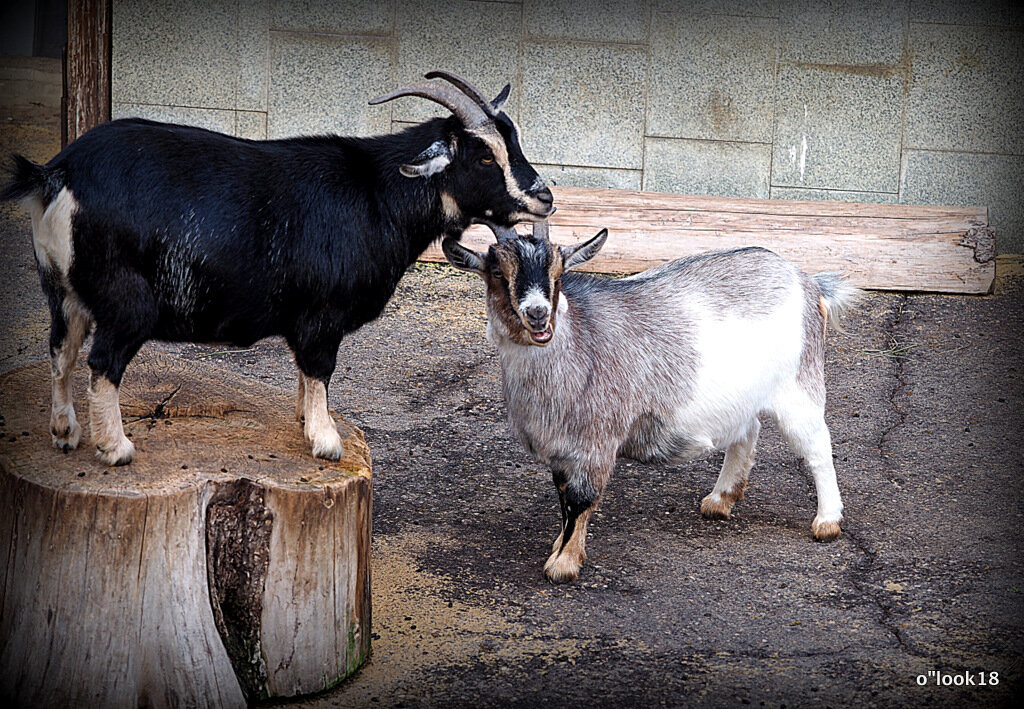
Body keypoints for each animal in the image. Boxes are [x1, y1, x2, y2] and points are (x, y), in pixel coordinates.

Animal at [2, 70, 552, 465]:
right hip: (125, 299)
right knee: (102, 362)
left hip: (63, 289)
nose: (544, 197)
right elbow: (320, 369)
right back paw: (115, 449)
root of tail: (57, 173)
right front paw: (326, 440)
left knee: (61, 350)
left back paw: (65, 433)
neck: (377, 194)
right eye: (483, 156)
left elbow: (306, 374)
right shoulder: (322, 316)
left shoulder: (303, 317)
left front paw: (306, 421)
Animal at [444, 225, 860, 581]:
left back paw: (827, 521)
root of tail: (806, 279)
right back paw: (720, 499)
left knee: (817, 445)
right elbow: (564, 500)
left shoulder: (595, 441)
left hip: (798, 381)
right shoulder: (562, 450)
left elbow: (580, 501)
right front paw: (561, 546)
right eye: (497, 274)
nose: (537, 314)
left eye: (558, 277)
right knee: (748, 430)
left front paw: (563, 564)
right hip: (743, 394)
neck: (576, 343)